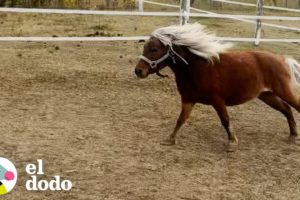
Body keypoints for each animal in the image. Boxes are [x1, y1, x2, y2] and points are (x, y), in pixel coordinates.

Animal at [135, 23, 300, 152]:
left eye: (154, 49)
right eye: (145, 47)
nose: (138, 71)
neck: (197, 68)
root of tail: (282, 59)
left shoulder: (218, 100)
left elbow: (225, 120)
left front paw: (232, 143)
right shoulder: (188, 100)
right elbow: (181, 119)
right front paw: (170, 139)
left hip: (283, 91)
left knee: (294, 106)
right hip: (267, 95)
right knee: (286, 109)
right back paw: (292, 135)